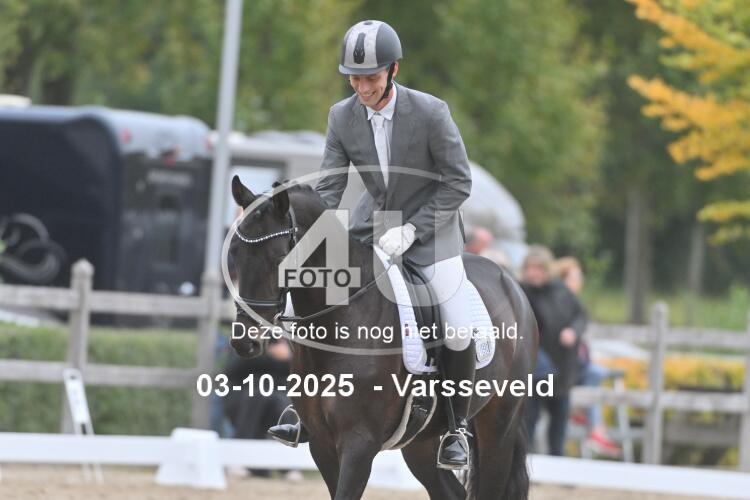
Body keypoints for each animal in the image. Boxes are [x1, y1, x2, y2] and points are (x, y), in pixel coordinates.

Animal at [228, 177, 538, 500]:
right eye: (233, 253)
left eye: (280, 258)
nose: (245, 341)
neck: (343, 318)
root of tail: (510, 282)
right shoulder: (321, 443)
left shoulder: (359, 443)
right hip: (421, 441)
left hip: (498, 427)